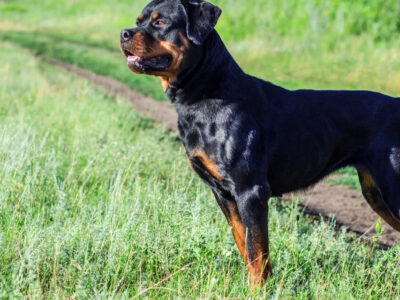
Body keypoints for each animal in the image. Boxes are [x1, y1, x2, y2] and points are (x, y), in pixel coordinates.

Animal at [120, 0, 400, 288]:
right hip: (376, 193)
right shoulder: (224, 194)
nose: (124, 33)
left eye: (160, 22)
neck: (206, 95)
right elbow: (245, 245)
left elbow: (257, 249)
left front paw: (258, 289)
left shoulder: (251, 190)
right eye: (139, 21)